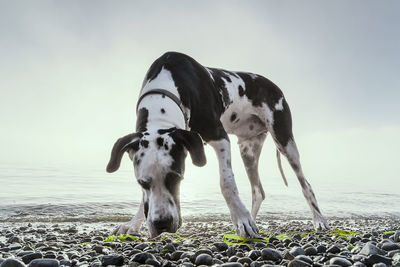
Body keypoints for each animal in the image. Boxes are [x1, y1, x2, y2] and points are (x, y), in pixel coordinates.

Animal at [106, 51, 328, 239]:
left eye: (177, 177)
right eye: (142, 183)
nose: (162, 224)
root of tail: (274, 85)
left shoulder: (220, 138)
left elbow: (227, 183)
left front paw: (241, 218)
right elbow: (144, 198)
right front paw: (133, 224)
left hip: (284, 141)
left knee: (306, 185)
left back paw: (319, 220)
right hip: (248, 150)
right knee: (258, 191)